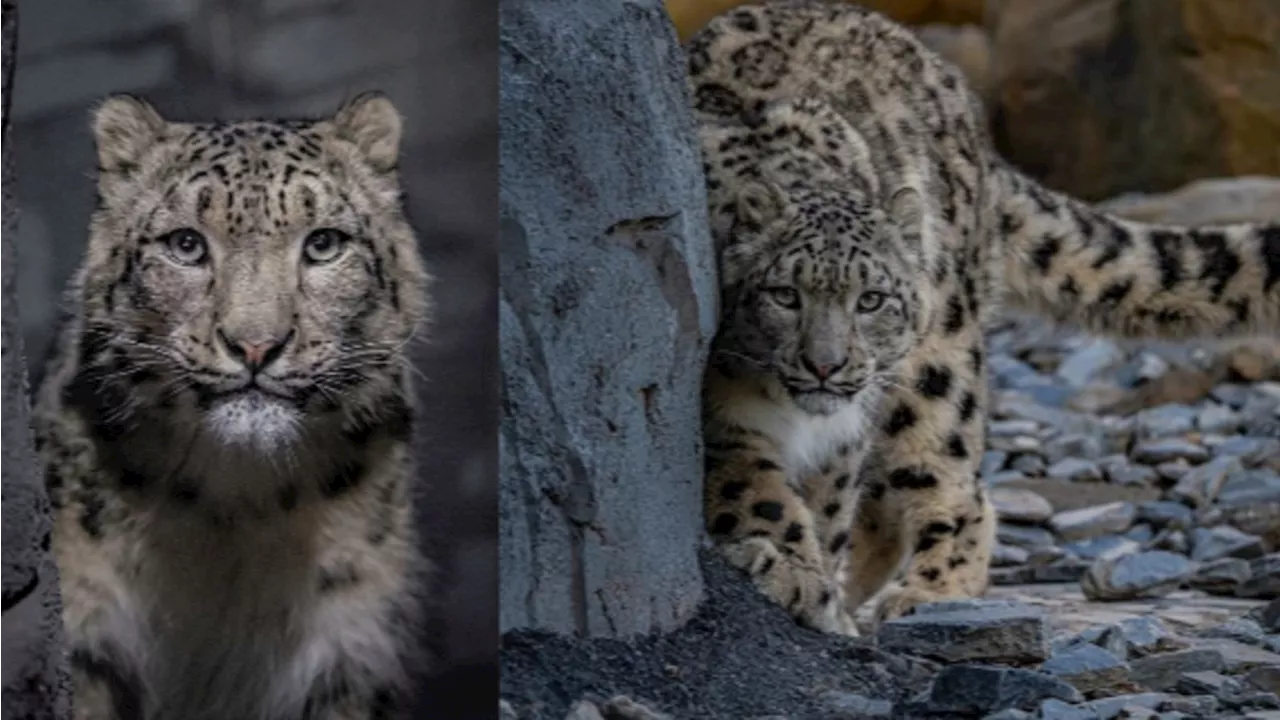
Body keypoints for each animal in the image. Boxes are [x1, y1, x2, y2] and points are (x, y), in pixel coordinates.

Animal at [32, 92, 432, 712]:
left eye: (324, 243)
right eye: (186, 244)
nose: (256, 344)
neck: (237, 504)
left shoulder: (350, 646)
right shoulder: (89, 637)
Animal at [691, 2, 1280, 632]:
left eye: (870, 299)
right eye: (784, 294)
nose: (827, 365)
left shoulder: (842, 435)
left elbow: (825, 507)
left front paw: (815, 582)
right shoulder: (725, 416)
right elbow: (764, 496)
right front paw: (801, 578)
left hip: (938, 365)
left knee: (951, 480)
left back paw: (928, 594)